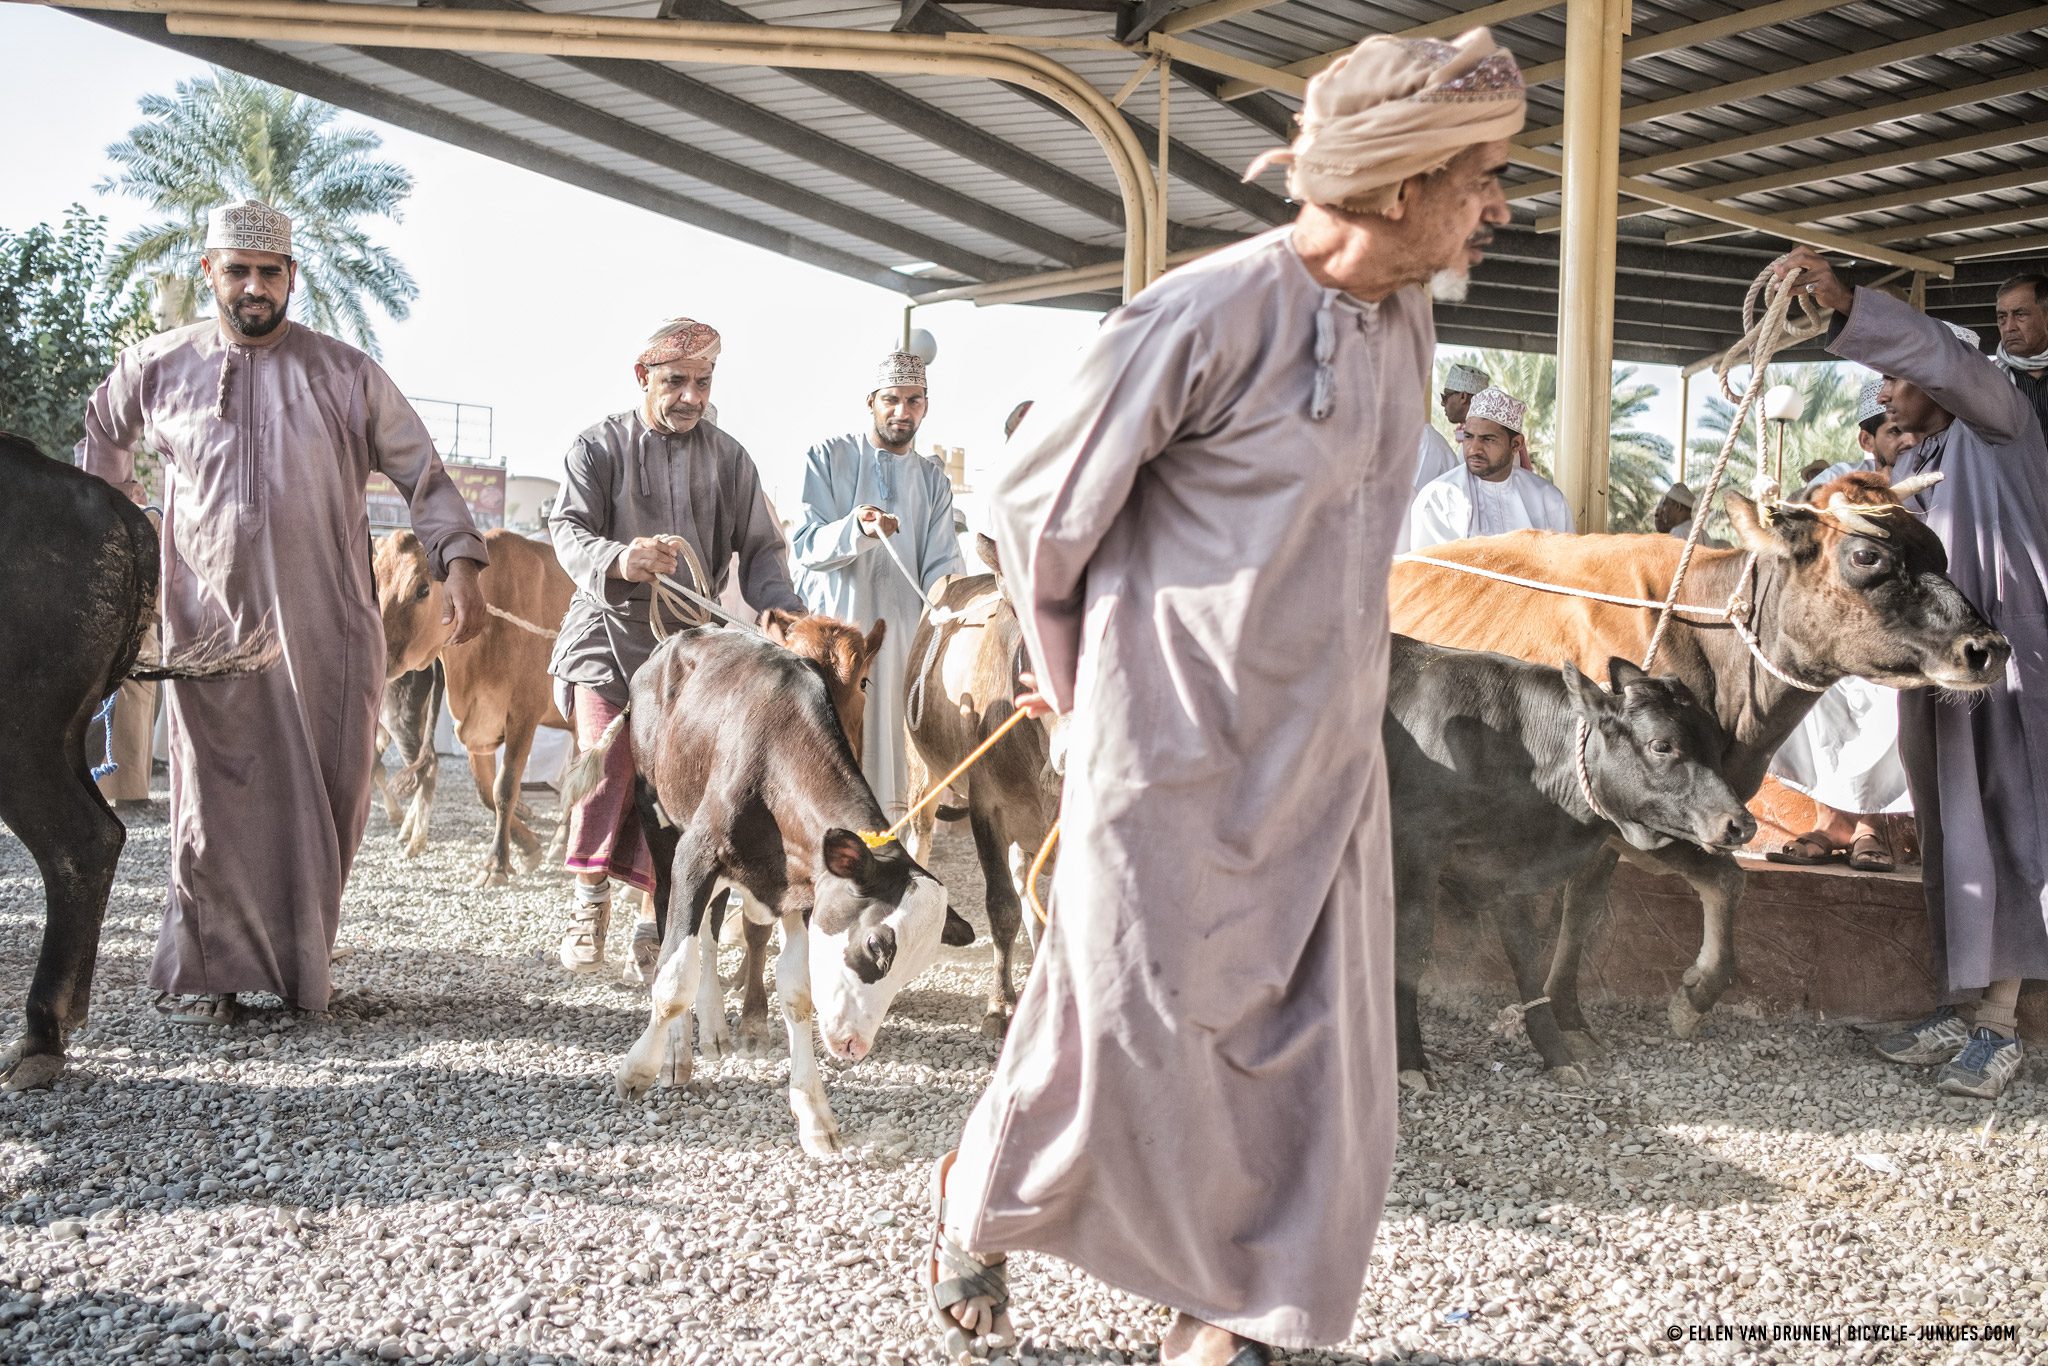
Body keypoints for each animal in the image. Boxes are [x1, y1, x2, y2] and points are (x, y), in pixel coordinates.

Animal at [372, 524, 569, 888]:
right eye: (374, 580)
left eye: (422, 589)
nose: (379, 655)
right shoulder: (476, 725)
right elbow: (485, 792)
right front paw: (529, 846)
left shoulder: (523, 714)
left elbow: (505, 787)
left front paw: (497, 864)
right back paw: (560, 841)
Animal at [1384, 634, 1753, 1097]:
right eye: (1661, 745)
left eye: (1716, 745)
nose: (1740, 824)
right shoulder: (1418, 847)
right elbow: (1412, 949)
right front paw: (1410, 1061)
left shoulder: (1506, 868)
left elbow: (1525, 957)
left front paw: (1557, 1056)